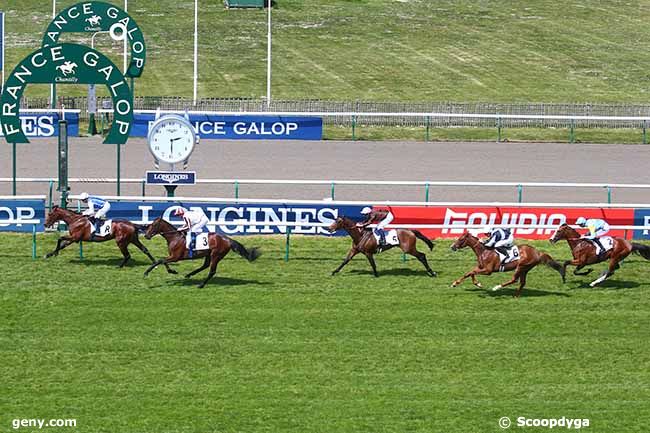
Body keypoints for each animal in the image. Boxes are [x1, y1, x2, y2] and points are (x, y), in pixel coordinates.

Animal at [44, 202, 173, 270]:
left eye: (50, 214)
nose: (45, 224)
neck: (75, 220)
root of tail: (132, 224)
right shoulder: (74, 238)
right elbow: (62, 244)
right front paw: (51, 254)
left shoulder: (75, 237)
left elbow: (60, 239)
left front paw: (51, 253)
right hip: (133, 239)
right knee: (145, 249)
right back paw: (154, 263)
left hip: (121, 242)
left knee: (127, 255)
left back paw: (119, 266)